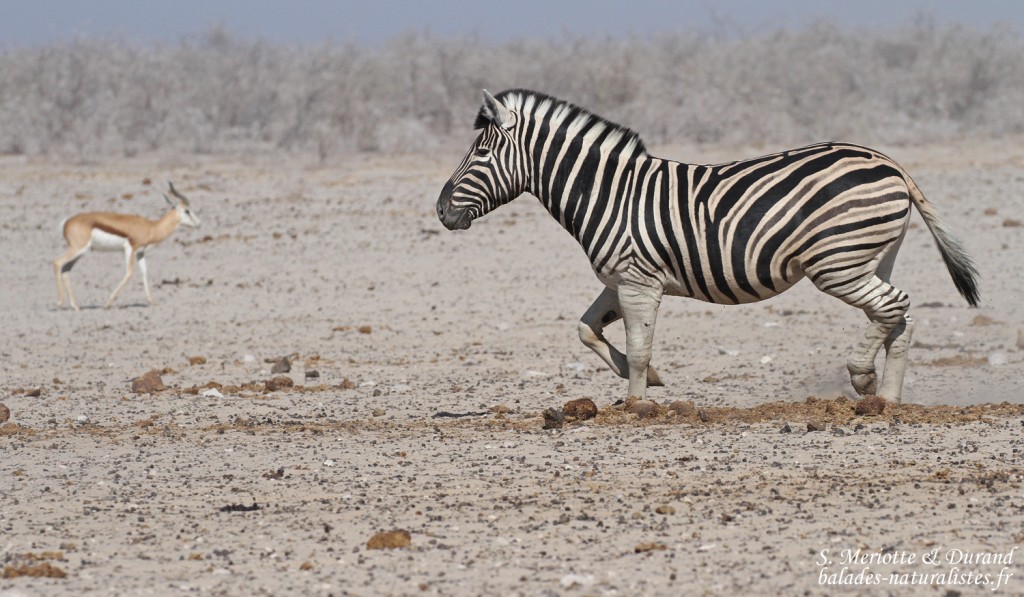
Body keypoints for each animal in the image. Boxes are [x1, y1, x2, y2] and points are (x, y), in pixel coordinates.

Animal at [436, 89, 979, 404]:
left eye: (480, 152)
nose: (440, 211)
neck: (608, 191)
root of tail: (889, 161)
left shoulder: (638, 281)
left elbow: (638, 347)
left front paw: (637, 404)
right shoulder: (622, 279)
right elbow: (587, 330)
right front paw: (649, 382)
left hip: (837, 264)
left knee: (893, 308)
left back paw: (864, 379)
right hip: (872, 260)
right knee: (898, 318)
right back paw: (887, 398)